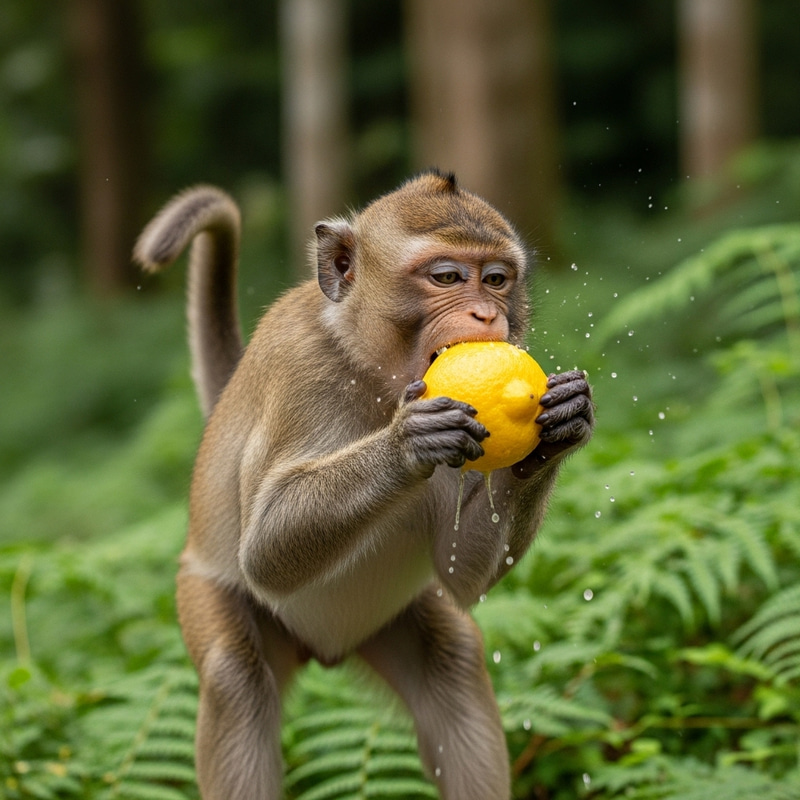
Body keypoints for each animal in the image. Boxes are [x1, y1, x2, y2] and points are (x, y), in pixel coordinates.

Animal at [134, 170, 594, 800]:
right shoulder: (299, 367)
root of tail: (324, 650)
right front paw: (408, 443)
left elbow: (459, 572)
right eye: (447, 277)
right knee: (234, 677)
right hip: (206, 590)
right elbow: (264, 554)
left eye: (496, 280)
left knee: (453, 659)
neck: (374, 372)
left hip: (388, 619)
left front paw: (560, 427)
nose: (486, 315)